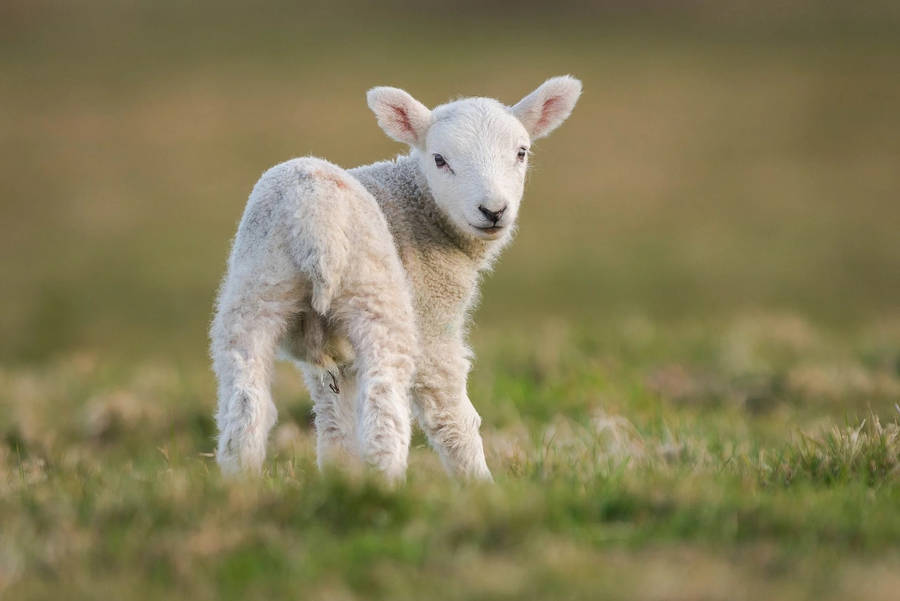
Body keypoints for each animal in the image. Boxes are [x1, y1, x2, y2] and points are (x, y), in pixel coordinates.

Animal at [214, 75, 588, 480]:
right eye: (440, 159)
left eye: (521, 152)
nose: (493, 210)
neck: (421, 209)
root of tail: (312, 213)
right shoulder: (433, 318)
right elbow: (450, 414)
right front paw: (480, 484)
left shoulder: (336, 361)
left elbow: (335, 424)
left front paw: (340, 478)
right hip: (378, 298)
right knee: (385, 404)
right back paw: (385, 482)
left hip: (255, 293)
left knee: (245, 403)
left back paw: (240, 481)